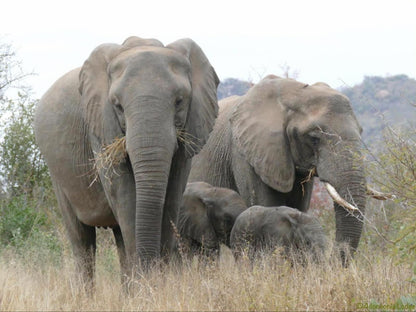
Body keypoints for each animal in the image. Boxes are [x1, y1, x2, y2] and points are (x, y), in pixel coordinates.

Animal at [35, 36, 221, 286]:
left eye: (180, 101)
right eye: (118, 106)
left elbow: (172, 195)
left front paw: (158, 286)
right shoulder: (101, 126)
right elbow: (124, 194)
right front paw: (146, 286)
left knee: (118, 236)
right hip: (57, 174)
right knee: (82, 240)